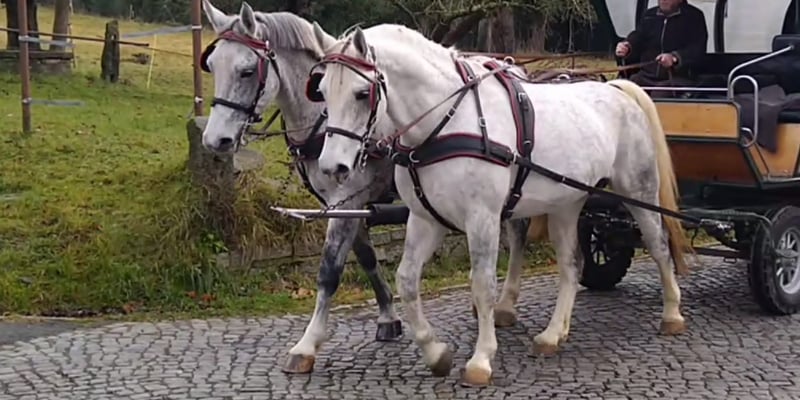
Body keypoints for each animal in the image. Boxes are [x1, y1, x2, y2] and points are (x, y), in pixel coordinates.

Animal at [198, 1, 547, 374]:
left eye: (247, 71)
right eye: (212, 65)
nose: (215, 140)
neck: (324, 120)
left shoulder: (347, 198)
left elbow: (329, 270)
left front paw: (307, 343)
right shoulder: (345, 204)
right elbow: (365, 258)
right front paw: (388, 317)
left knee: (517, 232)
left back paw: (505, 304)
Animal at [308, 22, 691, 387]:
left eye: (362, 93)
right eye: (322, 91)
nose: (332, 167)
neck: (446, 121)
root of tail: (617, 89)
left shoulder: (483, 218)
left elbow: (482, 285)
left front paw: (480, 360)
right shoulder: (424, 219)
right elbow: (406, 281)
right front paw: (435, 353)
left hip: (639, 190)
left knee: (658, 244)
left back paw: (672, 313)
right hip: (567, 203)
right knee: (571, 265)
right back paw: (553, 334)